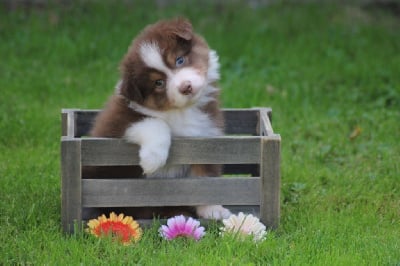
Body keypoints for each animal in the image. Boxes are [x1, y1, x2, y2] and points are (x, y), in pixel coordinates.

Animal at [88, 17, 231, 220]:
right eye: (158, 83)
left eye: (179, 60)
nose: (186, 87)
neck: (181, 111)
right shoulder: (115, 124)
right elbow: (154, 122)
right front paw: (152, 159)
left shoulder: (206, 134)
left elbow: (205, 176)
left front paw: (212, 208)